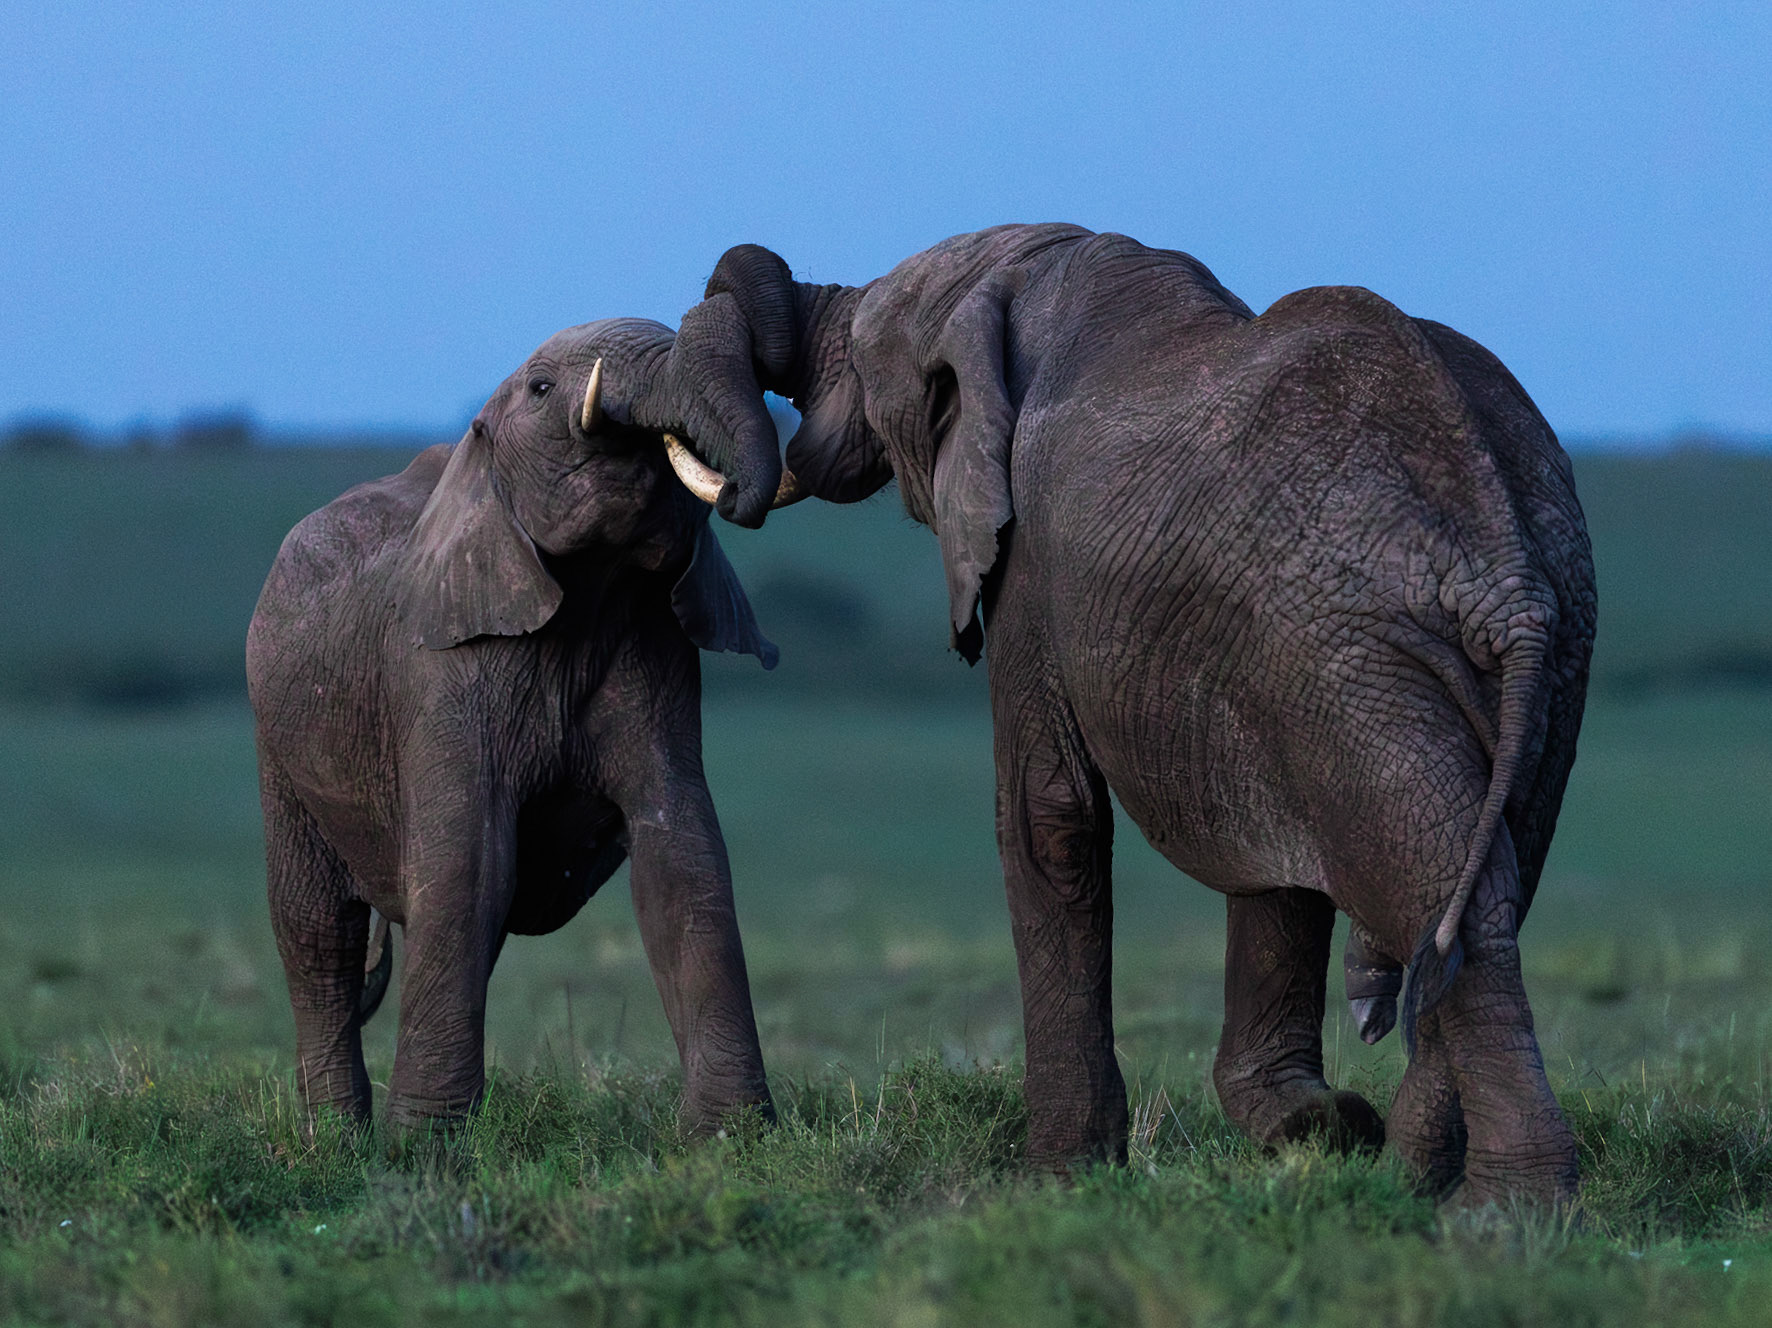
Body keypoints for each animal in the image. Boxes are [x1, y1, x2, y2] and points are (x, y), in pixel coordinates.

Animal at [246, 317, 798, 1137]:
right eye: (541, 389)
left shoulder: (654, 648)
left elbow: (682, 856)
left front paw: (729, 1138)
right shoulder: (440, 668)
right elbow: (467, 863)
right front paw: (424, 1146)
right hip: (277, 739)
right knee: (319, 932)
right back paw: (335, 1142)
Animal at [649, 225, 1596, 1207]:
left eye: (868, 356)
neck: (1018, 270)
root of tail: (1503, 576)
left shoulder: (1031, 564)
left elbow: (1049, 816)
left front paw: (1056, 1183)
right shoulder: (1265, 661)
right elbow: (1274, 855)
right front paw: (1317, 1129)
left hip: (1364, 650)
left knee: (1440, 888)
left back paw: (1502, 1212)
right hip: (1536, 644)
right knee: (1476, 883)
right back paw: (1409, 1180)